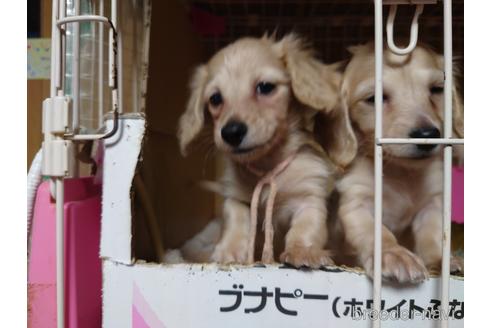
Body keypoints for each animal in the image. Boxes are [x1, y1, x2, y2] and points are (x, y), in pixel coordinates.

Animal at [177, 34, 358, 270]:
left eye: (265, 87)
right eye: (215, 99)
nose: (231, 132)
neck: (268, 167)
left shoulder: (309, 198)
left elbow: (306, 227)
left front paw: (303, 251)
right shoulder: (236, 198)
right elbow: (236, 222)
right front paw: (229, 251)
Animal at [332, 43, 464, 284]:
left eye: (436, 89)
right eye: (374, 99)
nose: (427, 135)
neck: (402, 173)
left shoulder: (432, 204)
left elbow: (432, 235)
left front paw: (443, 260)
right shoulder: (355, 203)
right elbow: (376, 231)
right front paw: (394, 254)